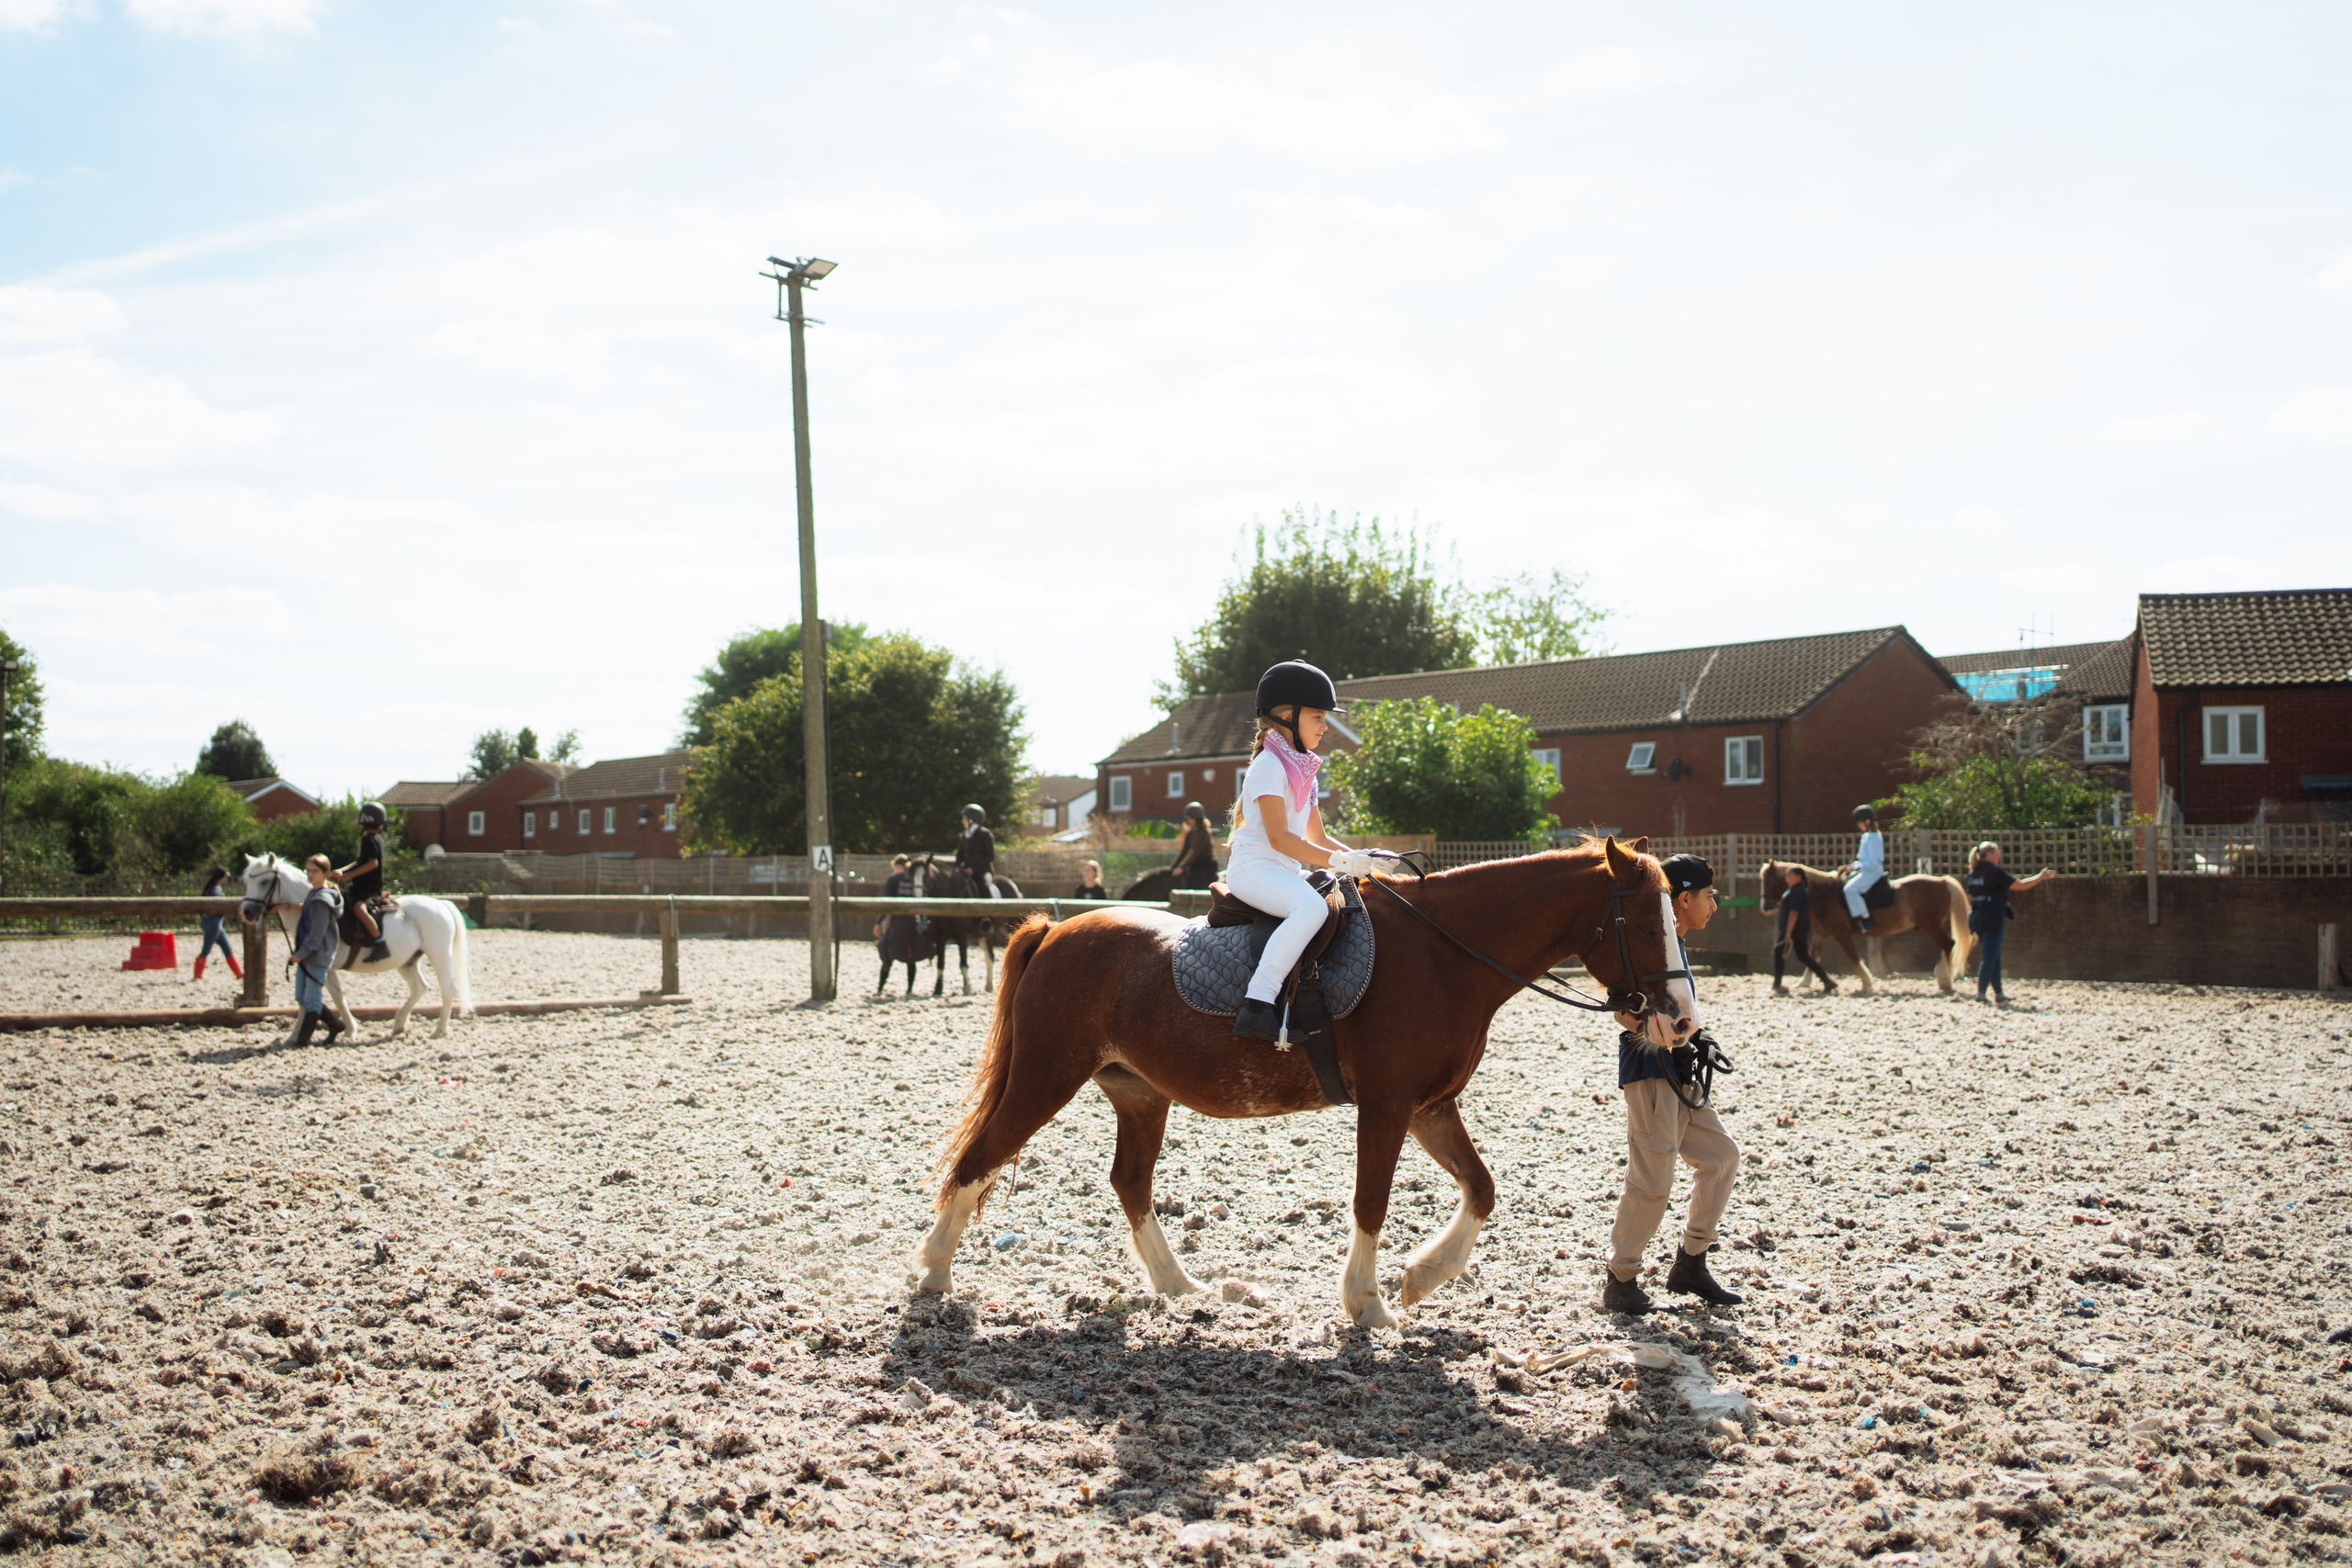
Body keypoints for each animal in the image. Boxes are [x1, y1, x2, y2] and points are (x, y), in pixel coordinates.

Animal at [236, 853, 475, 1040]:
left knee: (447, 989)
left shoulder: (323, 967)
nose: (246, 912)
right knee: (420, 987)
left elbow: (332, 998)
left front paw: (347, 1030)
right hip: (406, 962)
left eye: (265, 881)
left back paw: (440, 1029)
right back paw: (399, 1024)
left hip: (439, 955)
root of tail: (442, 903)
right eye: (247, 881)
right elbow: (320, 999)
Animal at [906, 854, 1024, 996]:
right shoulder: (940, 939)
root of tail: (1011, 883)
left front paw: (967, 988)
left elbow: (963, 963)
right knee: (989, 957)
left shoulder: (961, 937)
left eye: (926, 875)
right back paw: (989, 986)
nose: (917, 896)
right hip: (983, 935)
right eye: (911, 875)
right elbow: (940, 964)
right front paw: (938, 989)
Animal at [1757, 859, 1971, 994]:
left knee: (1948, 944)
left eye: (1768, 881)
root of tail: (1942, 881)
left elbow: (1853, 957)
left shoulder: (1842, 934)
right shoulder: (1821, 934)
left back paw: (1945, 980)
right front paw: (1804, 982)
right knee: (1946, 946)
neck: (1822, 894)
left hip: (1930, 925)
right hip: (1934, 925)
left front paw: (1867, 982)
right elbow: (1813, 956)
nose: (1765, 907)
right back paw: (1943, 978)